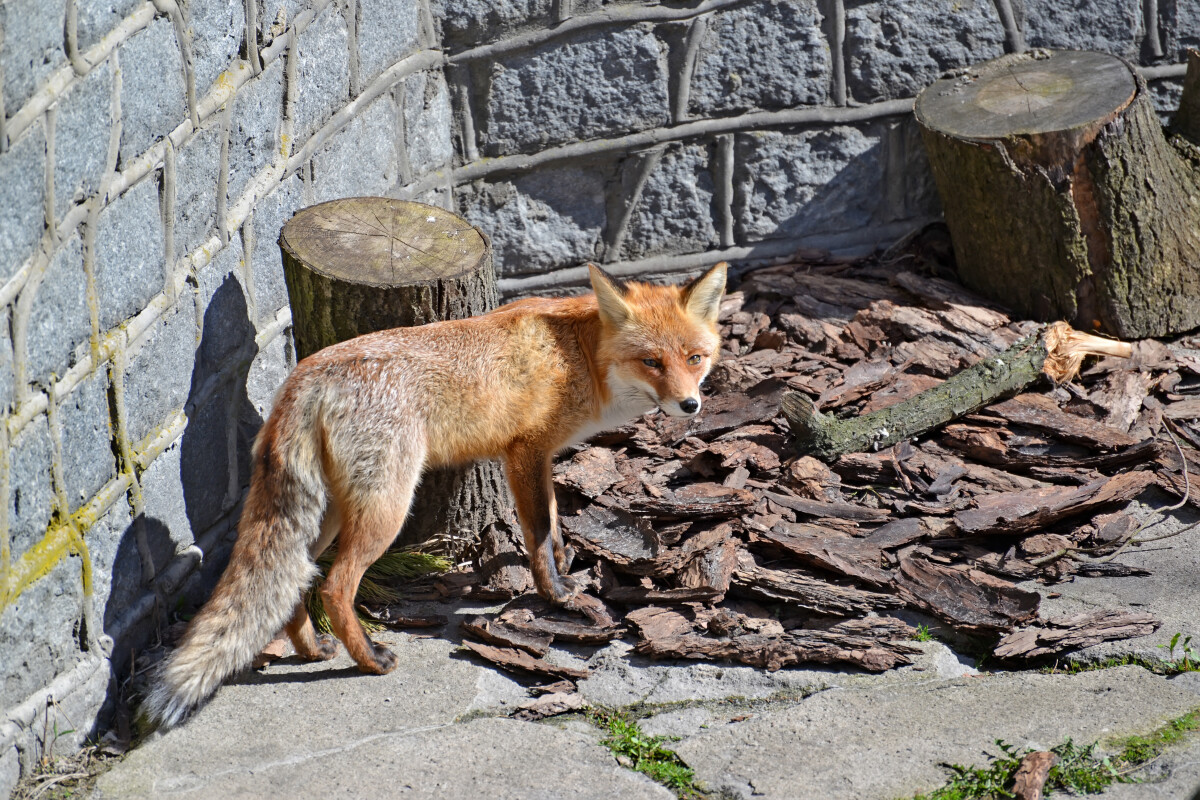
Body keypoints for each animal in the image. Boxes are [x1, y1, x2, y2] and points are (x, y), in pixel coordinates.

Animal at [140, 261, 720, 724]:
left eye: (695, 358)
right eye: (651, 362)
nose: (691, 406)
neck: (575, 354)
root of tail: (305, 375)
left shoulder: (541, 458)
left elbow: (555, 523)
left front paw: (565, 568)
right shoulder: (525, 452)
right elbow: (537, 532)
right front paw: (556, 595)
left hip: (332, 514)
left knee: (298, 578)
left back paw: (311, 649)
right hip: (387, 508)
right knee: (335, 585)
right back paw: (370, 660)